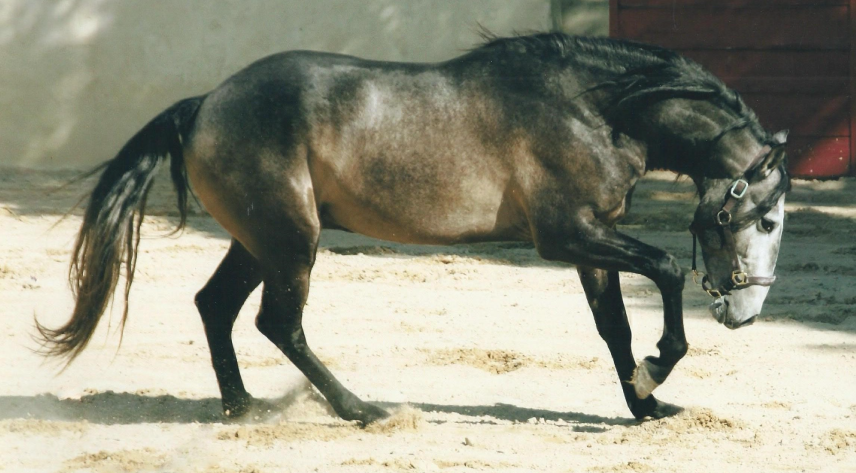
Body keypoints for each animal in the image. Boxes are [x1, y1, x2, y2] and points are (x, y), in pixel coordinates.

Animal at [38, 34, 788, 424]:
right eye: (769, 216)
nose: (747, 311)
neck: (593, 109)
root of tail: (202, 105)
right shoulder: (566, 235)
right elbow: (666, 268)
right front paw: (658, 369)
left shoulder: (592, 239)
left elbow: (614, 327)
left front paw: (646, 402)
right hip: (292, 242)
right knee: (277, 322)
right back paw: (362, 409)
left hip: (260, 242)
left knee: (216, 306)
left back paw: (243, 407)